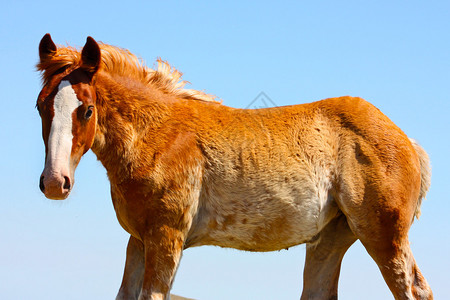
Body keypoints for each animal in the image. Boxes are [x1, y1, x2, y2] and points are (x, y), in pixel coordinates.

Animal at [37, 34, 432, 298]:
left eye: (87, 110)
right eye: (41, 105)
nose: (55, 182)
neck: (157, 135)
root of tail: (407, 142)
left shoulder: (166, 237)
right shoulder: (139, 240)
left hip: (384, 236)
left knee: (414, 289)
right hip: (330, 239)